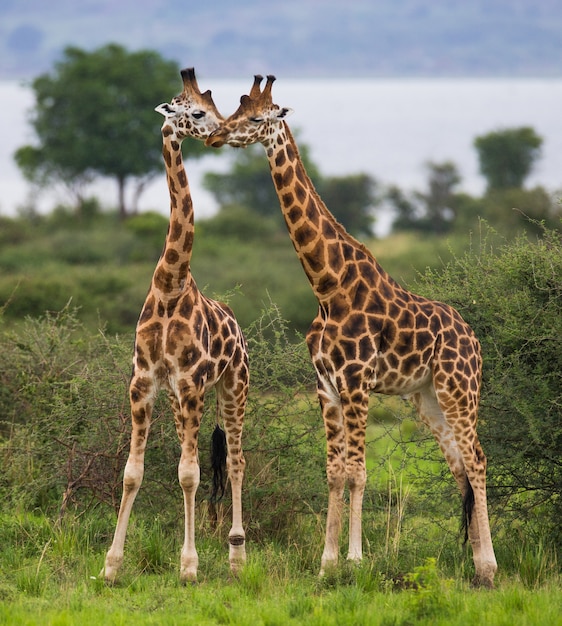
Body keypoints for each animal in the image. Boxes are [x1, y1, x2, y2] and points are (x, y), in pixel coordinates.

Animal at [101, 67, 246, 580]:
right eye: (197, 112)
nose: (223, 133)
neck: (168, 284)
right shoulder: (145, 382)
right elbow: (132, 472)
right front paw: (111, 565)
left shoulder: (190, 381)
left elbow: (189, 474)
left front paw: (189, 566)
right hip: (187, 398)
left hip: (233, 386)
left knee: (237, 461)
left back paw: (237, 555)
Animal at [206, 75, 494, 588]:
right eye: (233, 111)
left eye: (257, 117)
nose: (217, 136)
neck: (327, 286)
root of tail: (474, 340)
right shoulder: (326, 385)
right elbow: (335, 473)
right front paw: (326, 564)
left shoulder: (358, 381)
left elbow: (359, 471)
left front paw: (357, 562)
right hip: (427, 398)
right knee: (461, 465)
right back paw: (475, 565)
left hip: (460, 388)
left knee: (477, 460)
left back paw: (489, 569)